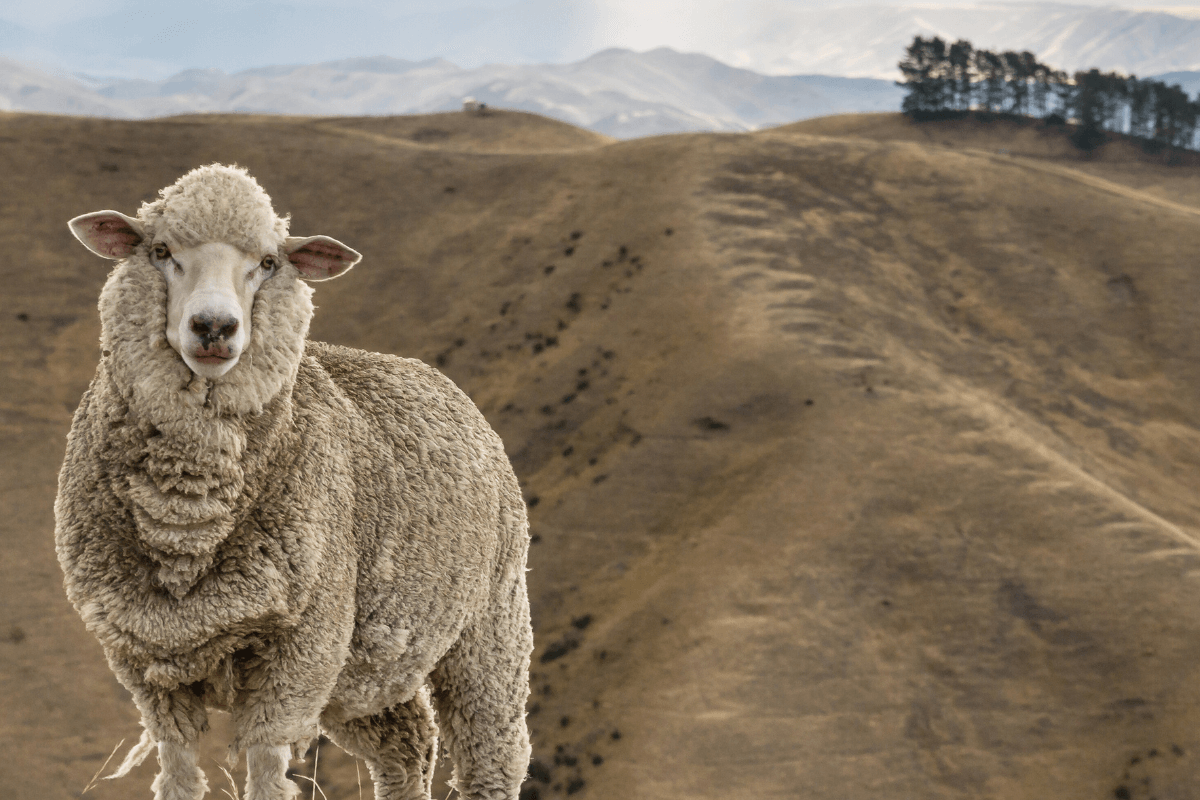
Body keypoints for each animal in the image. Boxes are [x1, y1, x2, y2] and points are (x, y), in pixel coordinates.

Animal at [55, 164, 533, 800]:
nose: (214, 326)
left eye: (268, 262)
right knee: (406, 745)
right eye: (160, 252)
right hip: (368, 667)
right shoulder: (148, 660)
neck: (186, 519)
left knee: (492, 748)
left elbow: (264, 769)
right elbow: (177, 771)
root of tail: (435, 377)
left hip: (490, 623)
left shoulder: (300, 654)